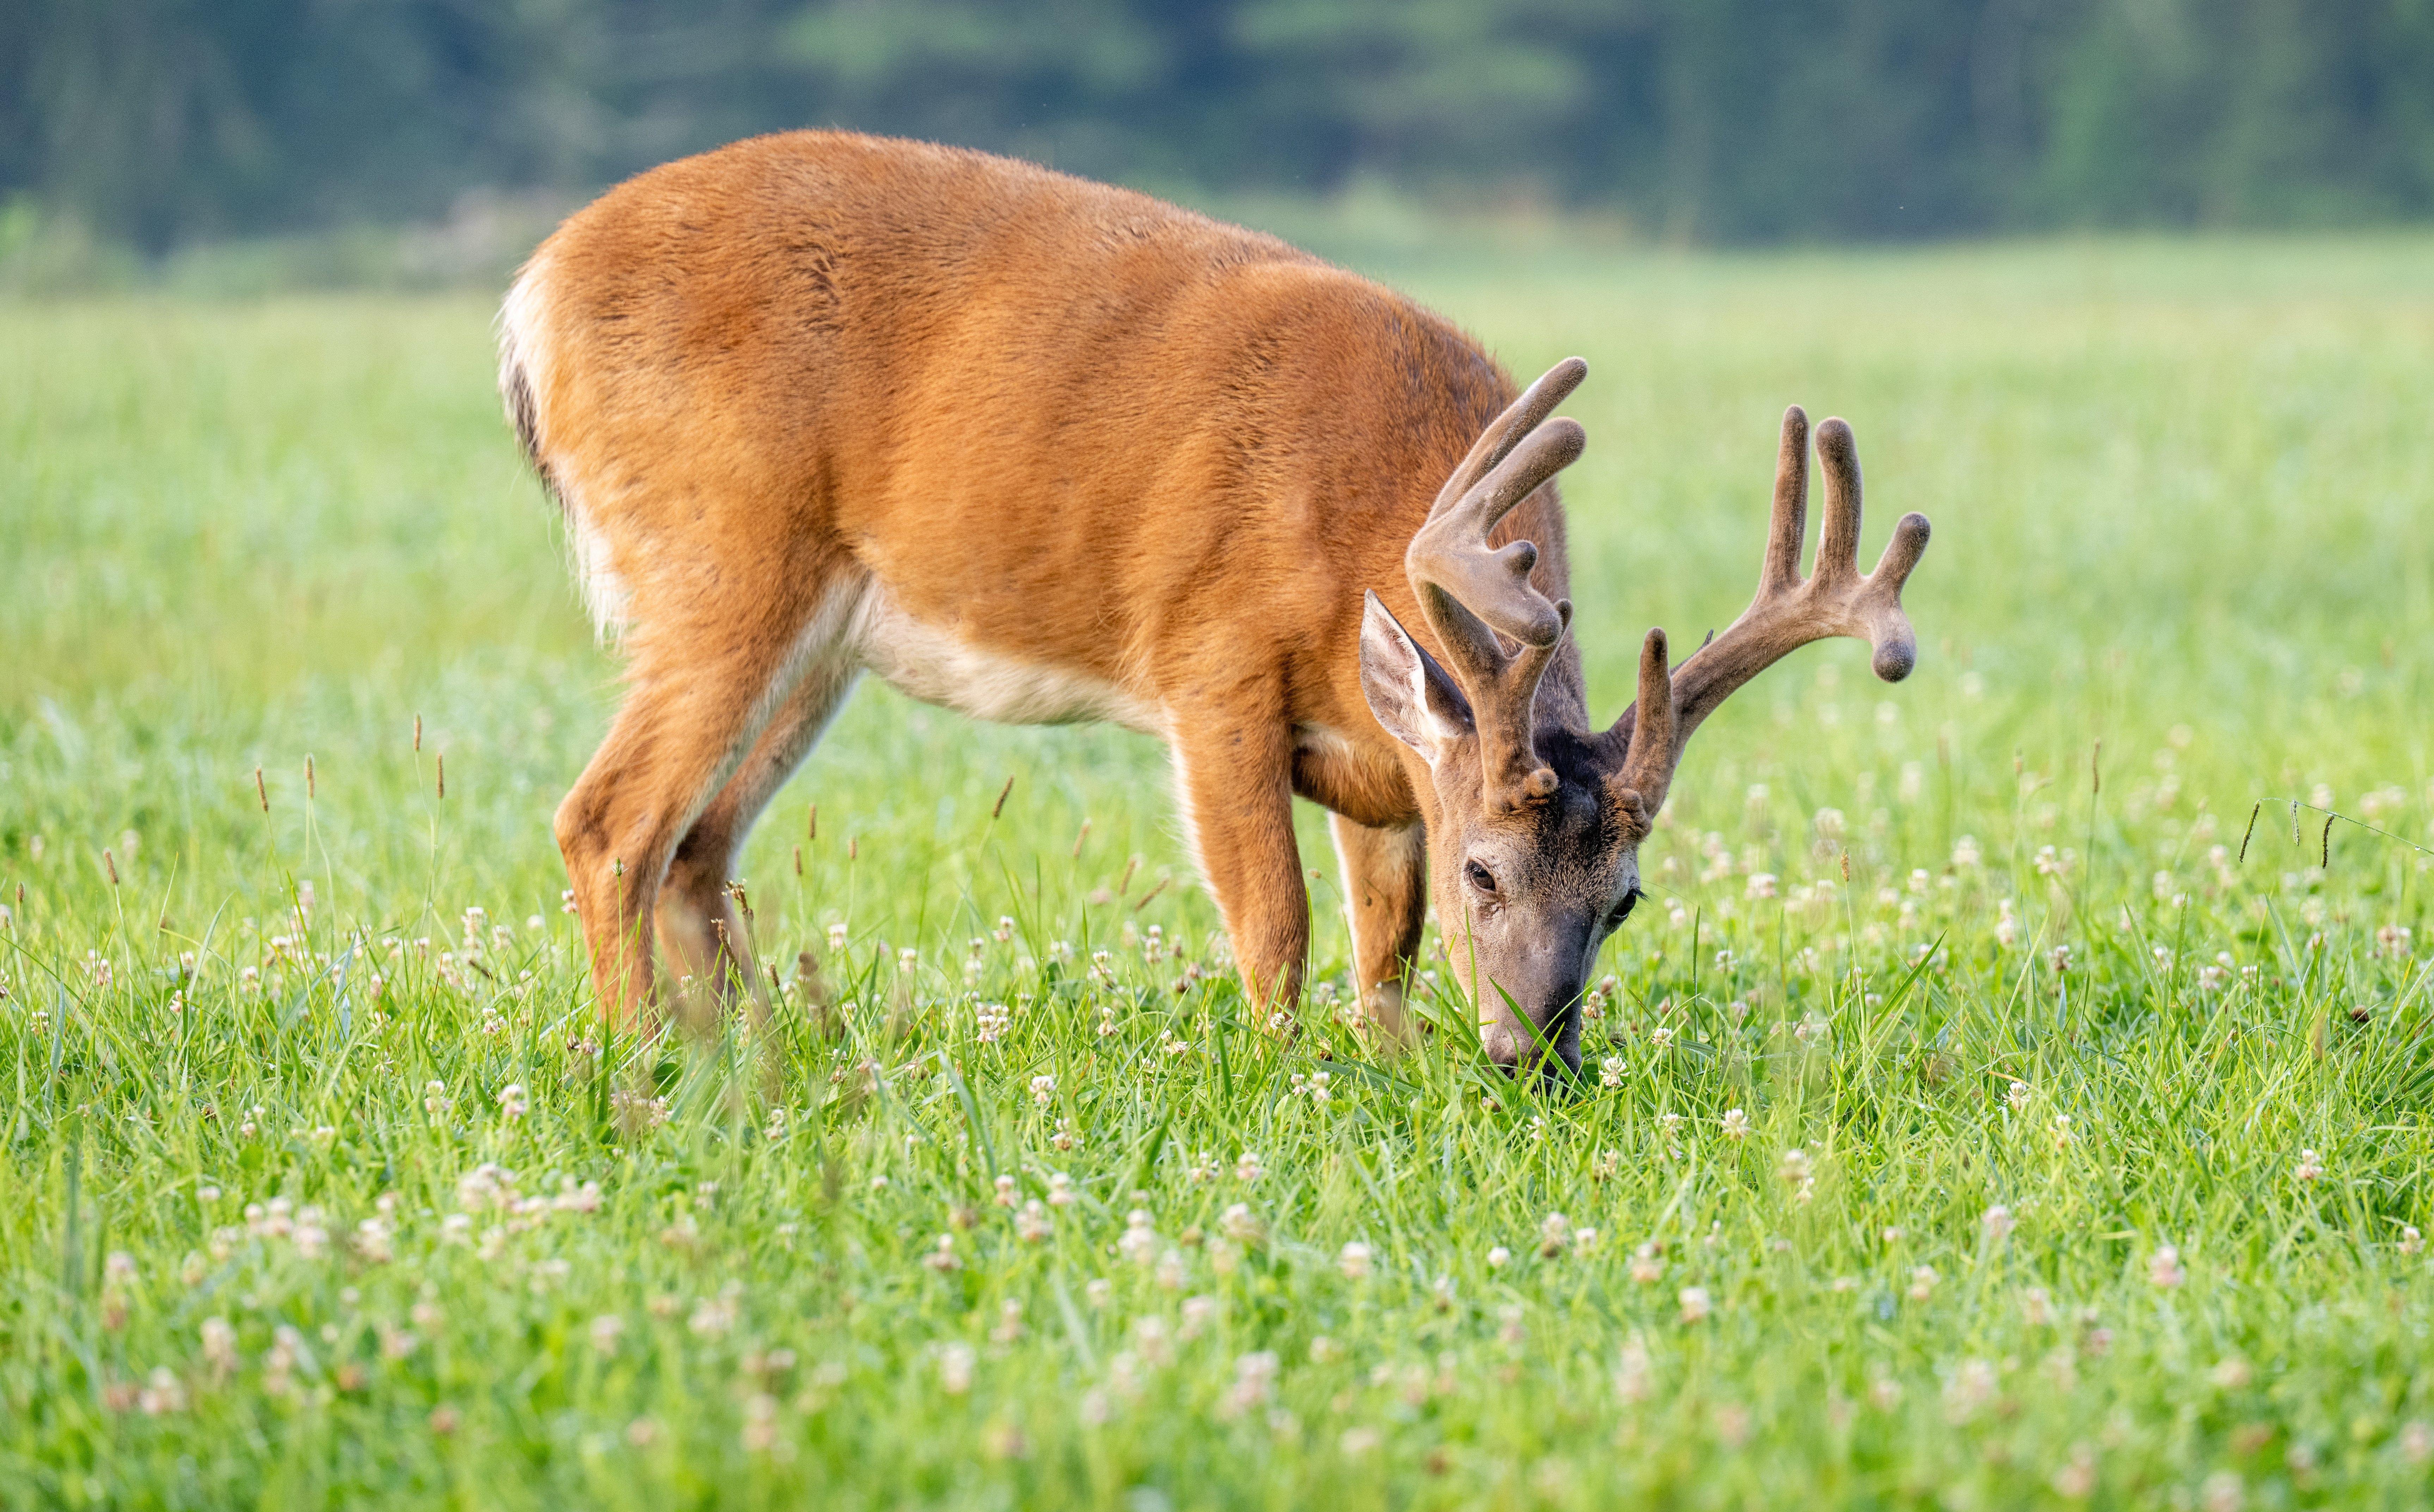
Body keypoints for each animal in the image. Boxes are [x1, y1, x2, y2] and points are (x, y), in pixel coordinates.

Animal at [499, 129, 1937, 1071]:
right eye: (1487, 869)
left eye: (1626, 896)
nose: (1536, 1057)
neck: (1369, 515)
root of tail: (531, 297)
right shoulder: (1211, 664)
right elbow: (1276, 923)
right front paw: (1282, 1076)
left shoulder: (1384, 759)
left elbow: (1382, 943)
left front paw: (1387, 1061)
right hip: (721, 553)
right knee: (611, 821)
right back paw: (648, 1066)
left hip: (824, 639)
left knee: (698, 846)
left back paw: (760, 1054)